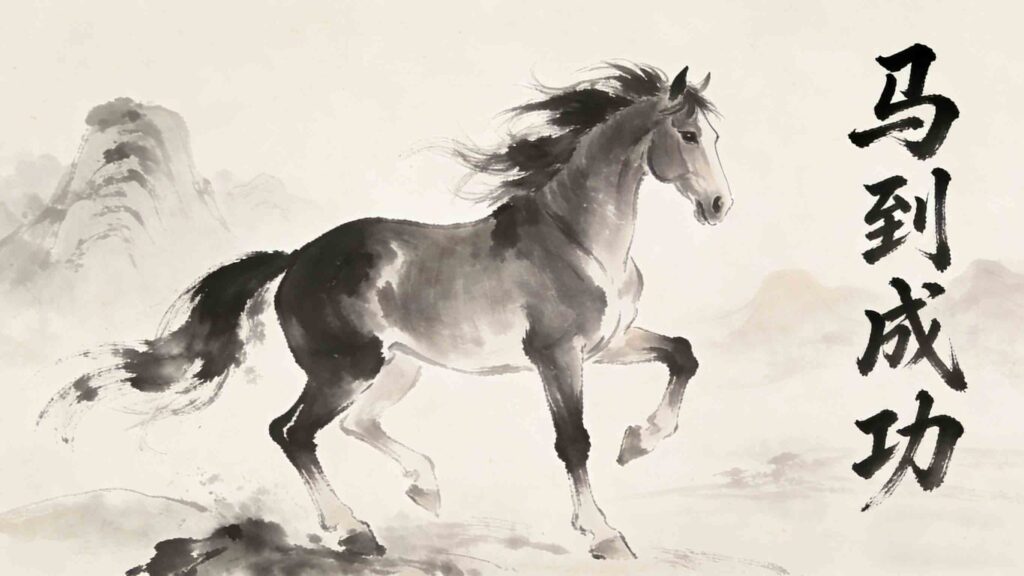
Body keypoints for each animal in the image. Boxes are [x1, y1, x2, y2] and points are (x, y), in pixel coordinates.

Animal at [40, 62, 732, 560]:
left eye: (716, 135)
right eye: (689, 135)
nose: (720, 206)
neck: (578, 239)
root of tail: (296, 259)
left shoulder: (607, 345)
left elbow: (683, 354)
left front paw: (640, 442)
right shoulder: (556, 355)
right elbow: (573, 441)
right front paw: (603, 534)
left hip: (398, 367)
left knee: (353, 425)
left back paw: (423, 487)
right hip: (345, 368)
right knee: (292, 432)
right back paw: (355, 532)